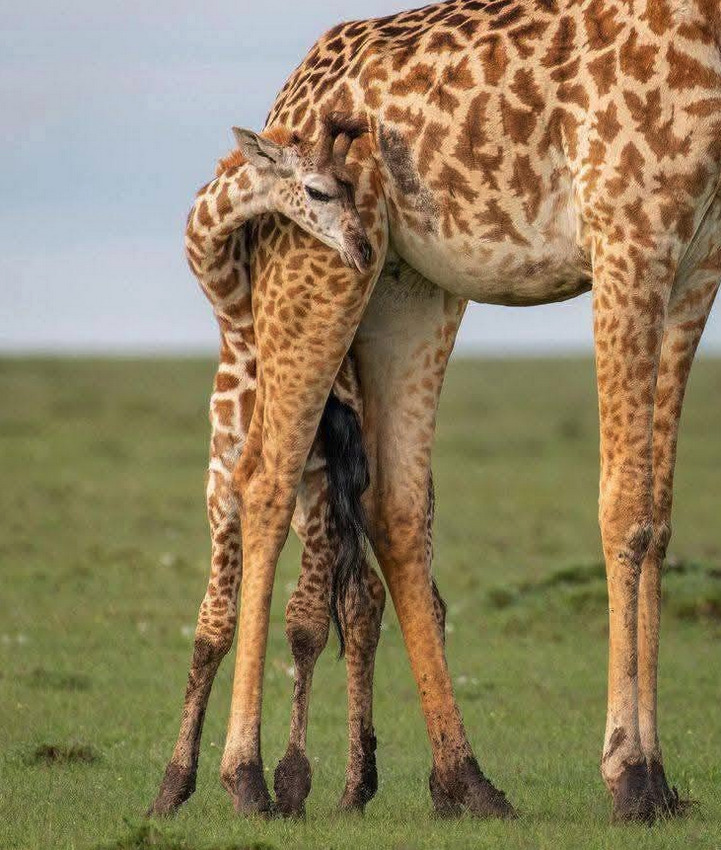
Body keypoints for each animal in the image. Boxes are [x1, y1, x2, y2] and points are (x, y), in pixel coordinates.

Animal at [190, 0, 721, 824]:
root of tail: (288, 97)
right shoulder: (629, 237)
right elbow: (625, 508)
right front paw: (630, 777)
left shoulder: (699, 260)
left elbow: (658, 516)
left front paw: (659, 782)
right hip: (318, 273)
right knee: (265, 479)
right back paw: (247, 777)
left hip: (408, 288)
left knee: (396, 506)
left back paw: (463, 781)